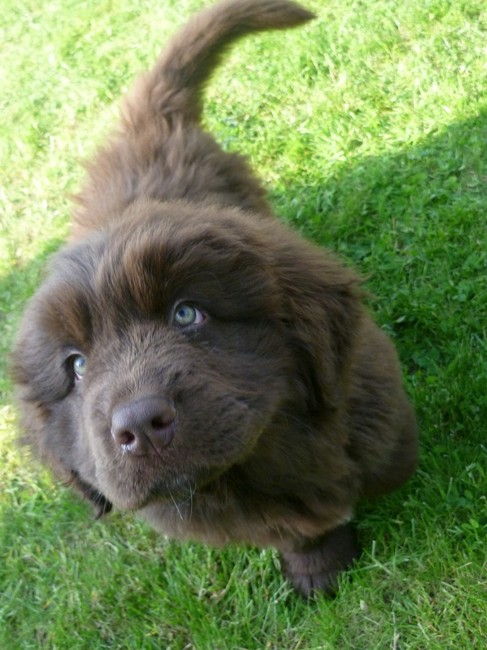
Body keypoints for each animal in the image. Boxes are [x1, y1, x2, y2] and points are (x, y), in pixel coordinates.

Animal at [12, 0, 418, 596]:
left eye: (187, 314)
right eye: (77, 366)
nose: (139, 426)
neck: (257, 465)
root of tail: (148, 124)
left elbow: (391, 461)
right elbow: (298, 530)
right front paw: (318, 566)